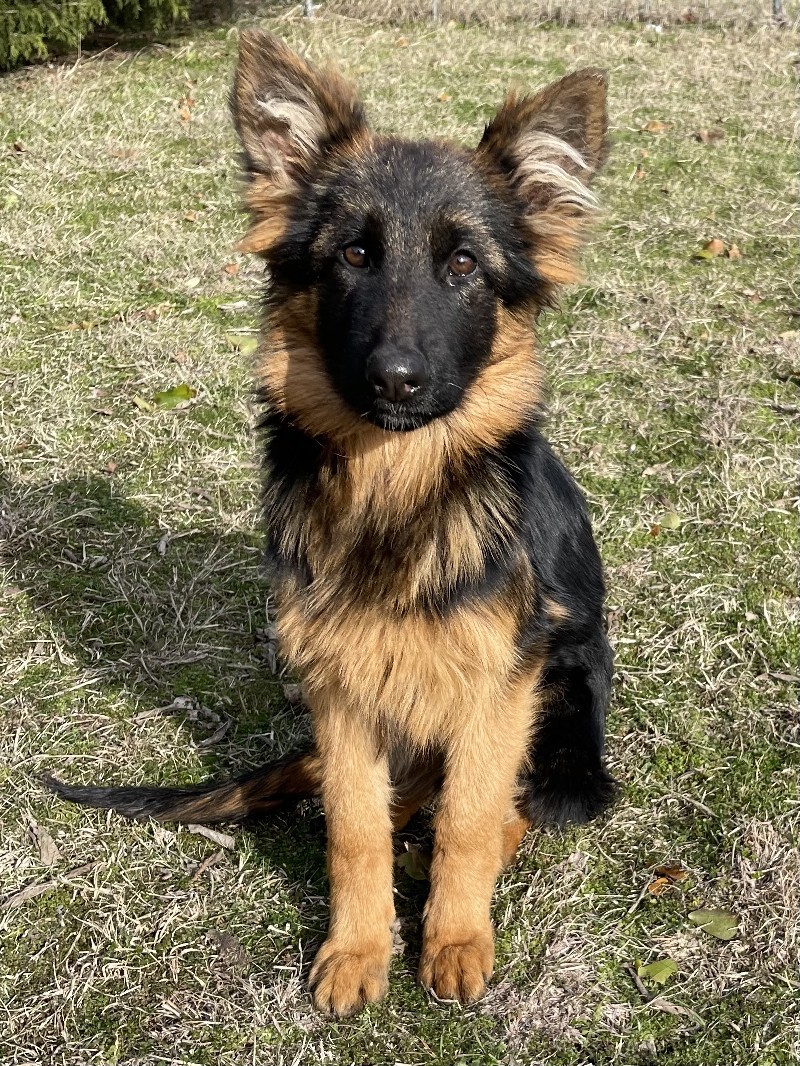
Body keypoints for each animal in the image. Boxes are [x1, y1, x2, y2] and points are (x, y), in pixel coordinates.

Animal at [46, 29, 618, 1014]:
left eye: (463, 265)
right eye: (353, 255)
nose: (397, 380)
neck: (393, 489)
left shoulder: (501, 684)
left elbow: (472, 817)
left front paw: (454, 936)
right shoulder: (340, 689)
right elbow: (353, 829)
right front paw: (358, 947)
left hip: (568, 716)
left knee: (506, 804)